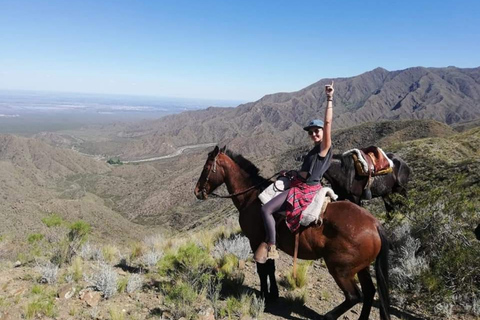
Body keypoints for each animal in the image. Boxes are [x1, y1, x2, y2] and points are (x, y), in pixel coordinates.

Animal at [195, 146, 390, 320]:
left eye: (207, 167)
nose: (197, 192)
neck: (251, 197)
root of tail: (374, 224)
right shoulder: (269, 242)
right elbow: (271, 268)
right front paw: (273, 294)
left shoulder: (255, 241)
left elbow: (262, 270)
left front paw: (264, 295)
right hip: (361, 267)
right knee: (369, 292)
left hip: (340, 269)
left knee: (354, 296)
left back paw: (328, 315)